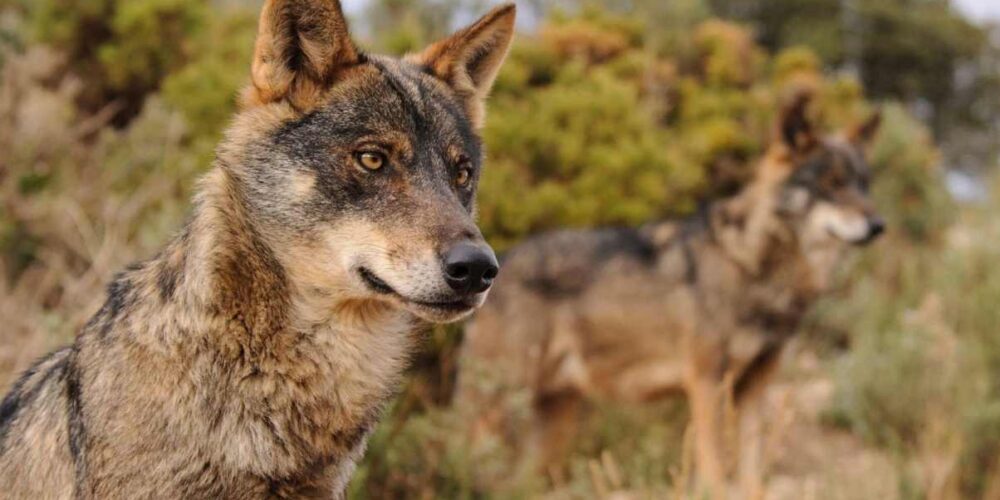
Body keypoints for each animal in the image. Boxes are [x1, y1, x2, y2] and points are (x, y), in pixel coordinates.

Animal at [458, 93, 883, 498]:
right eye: (831, 183)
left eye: (863, 184)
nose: (878, 225)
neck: (751, 263)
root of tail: (498, 263)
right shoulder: (707, 381)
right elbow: (714, 468)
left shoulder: (755, 387)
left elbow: (752, 473)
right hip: (498, 408)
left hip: (553, 423)